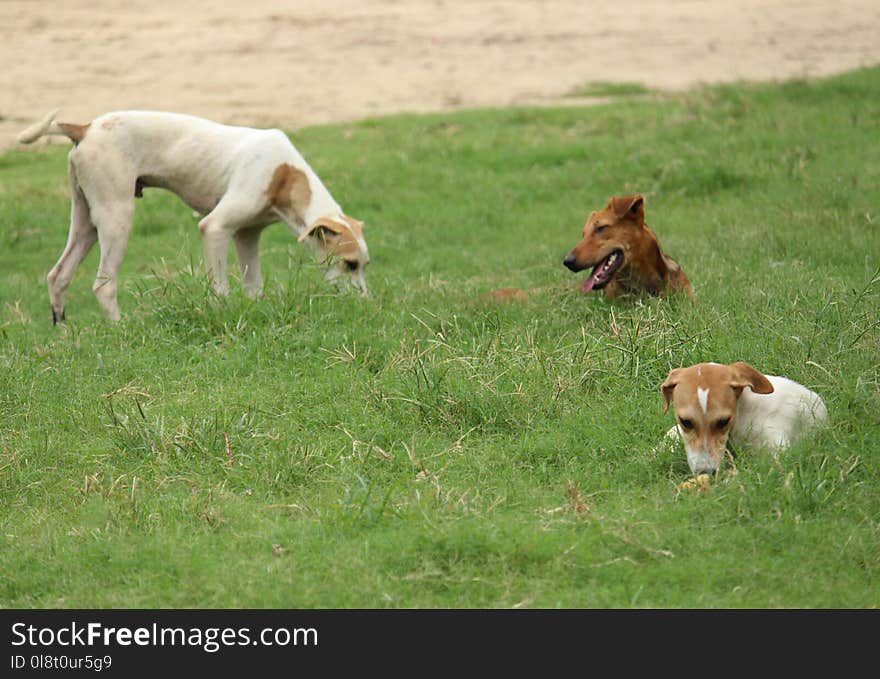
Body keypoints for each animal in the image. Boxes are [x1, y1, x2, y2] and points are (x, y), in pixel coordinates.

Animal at [18, 110, 368, 322]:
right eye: (350, 264)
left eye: (364, 265)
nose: (366, 303)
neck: (284, 174)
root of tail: (85, 128)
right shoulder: (215, 228)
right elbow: (221, 289)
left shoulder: (247, 236)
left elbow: (254, 287)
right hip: (116, 217)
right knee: (104, 285)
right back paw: (121, 329)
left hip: (86, 221)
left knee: (58, 276)